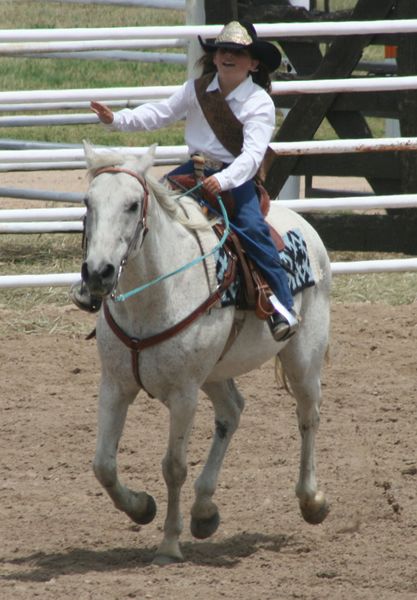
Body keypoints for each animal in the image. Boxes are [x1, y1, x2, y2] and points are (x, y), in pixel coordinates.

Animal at [81, 143, 332, 564]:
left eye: (133, 205)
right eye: (88, 202)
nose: (98, 273)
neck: (154, 296)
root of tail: (306, 226)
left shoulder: (183, 394)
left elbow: (174, 466)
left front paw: (168, 544)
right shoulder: (114, 385)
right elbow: (104, 465)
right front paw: (141, 507)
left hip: (303, 359)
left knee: (308, 417)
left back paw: (311, 501)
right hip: (214, 372)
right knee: (232, 411)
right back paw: (204, 511)